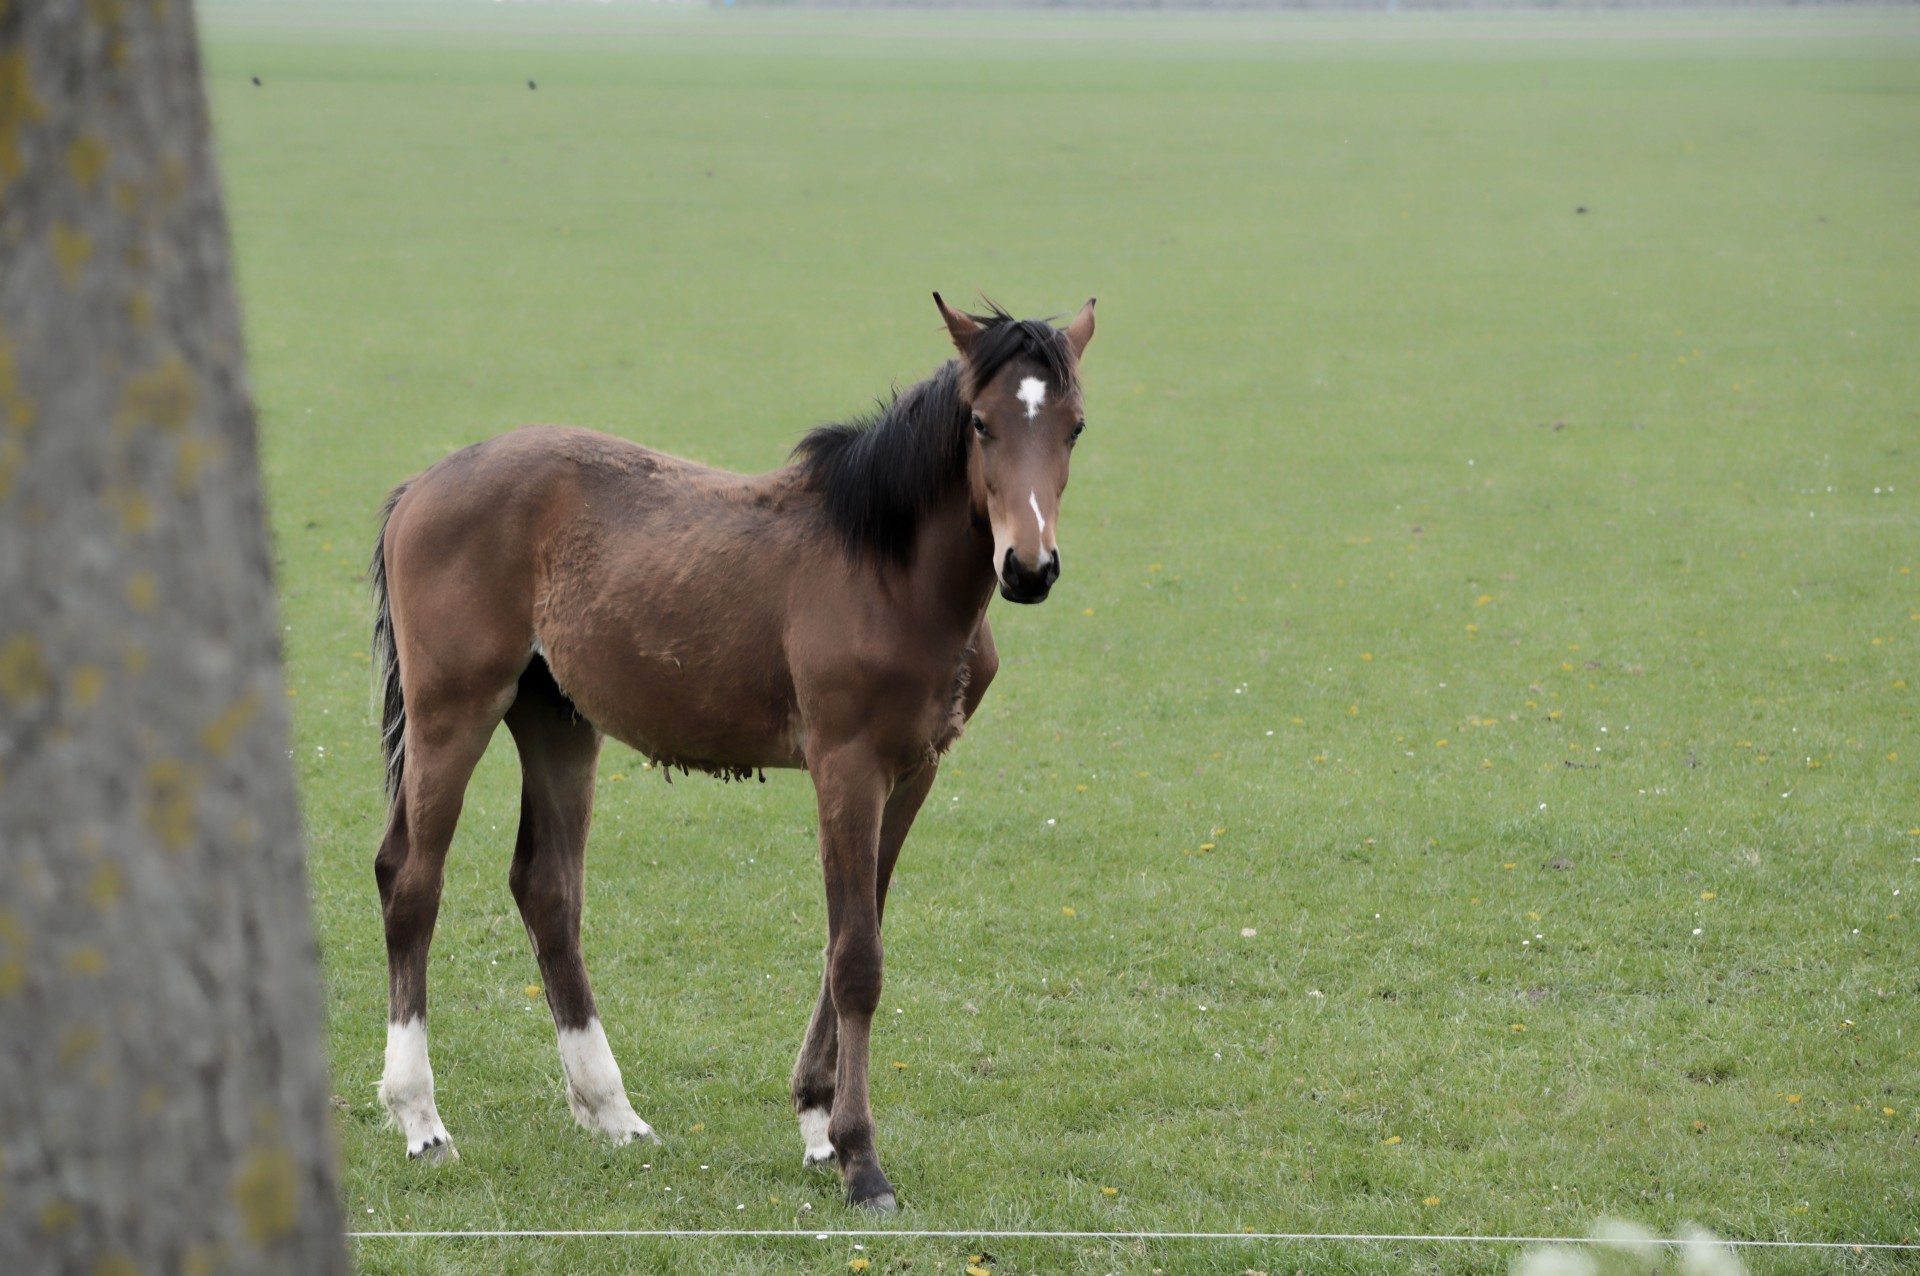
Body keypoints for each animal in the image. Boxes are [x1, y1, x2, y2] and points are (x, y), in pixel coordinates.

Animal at [366, 293, 1098, 1212]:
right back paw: (421, 1120)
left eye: (1075, 426)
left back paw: (613, 1113)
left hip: (558, 721)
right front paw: (862, 1161)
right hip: (452, 712)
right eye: (979, 422)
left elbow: (854, 929)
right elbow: (857, 957)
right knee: (411, 880)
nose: (1029, 568)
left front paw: (818, 1123)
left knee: (547, 890)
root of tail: (419, 488)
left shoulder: (914, 770)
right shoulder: (846, 765)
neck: (886, 570)